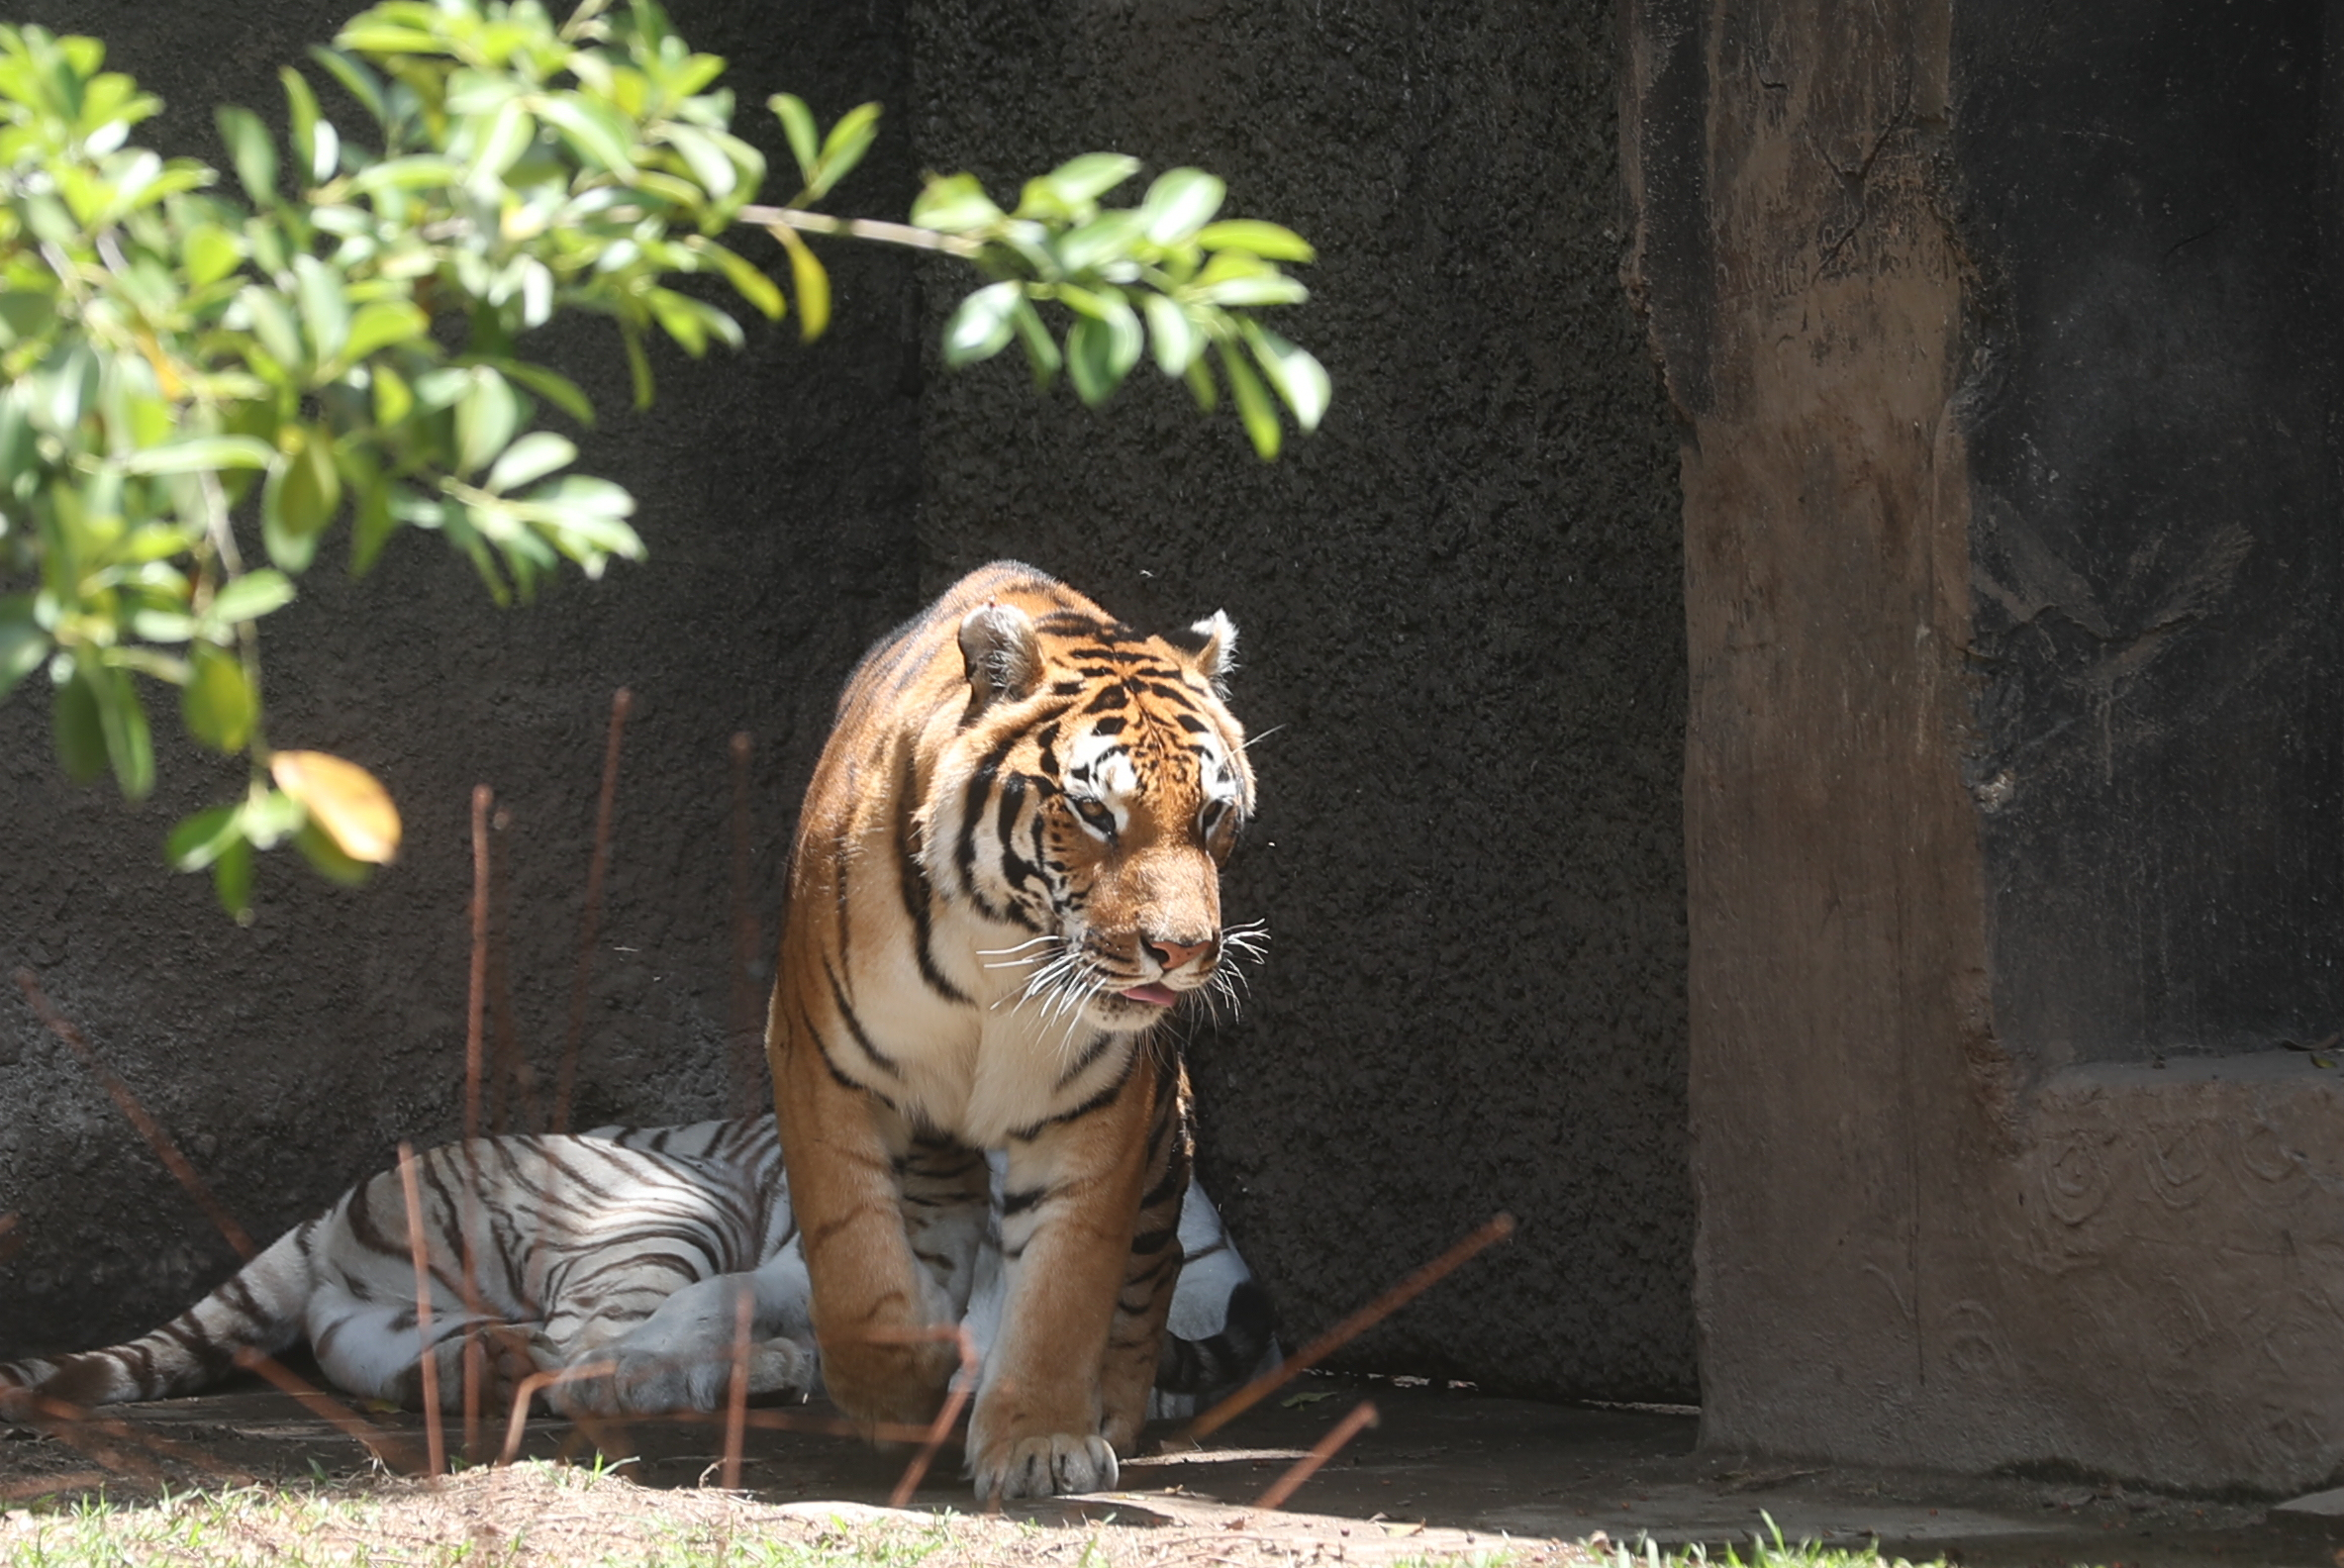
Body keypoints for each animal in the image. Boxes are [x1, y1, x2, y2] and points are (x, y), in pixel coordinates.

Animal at [765, 561, 1258, 1502]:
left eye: (1212, 816)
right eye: (1097, 814)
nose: (1184, 951)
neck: (1003, 951)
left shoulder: (1097, 1117)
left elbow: (1062, 1293)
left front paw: (1038, 1443)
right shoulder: (819, 1068)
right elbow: (857, 1268)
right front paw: (896, 1386)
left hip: (1161, 1146)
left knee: (1155, 1269)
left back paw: (1113, 1410)